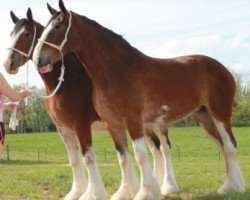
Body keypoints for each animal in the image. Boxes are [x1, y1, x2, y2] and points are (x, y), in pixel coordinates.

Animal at [2, 5, 174, 199]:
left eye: (26, 34)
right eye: (11, 33)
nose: (8, 64)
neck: (67, 82)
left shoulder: (81, 126)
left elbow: (89, 158)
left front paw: (93, 193)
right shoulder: (64, 129)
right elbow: (75, 161)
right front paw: (76, 192)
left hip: (157, 123)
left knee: (164, 147)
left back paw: (168, 186)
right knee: (155, 148)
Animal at [32, 0, 244, 198]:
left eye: (58, 25)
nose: (38, 59)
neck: (117, 71)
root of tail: (223, 69)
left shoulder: (133, 122)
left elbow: (141, 156)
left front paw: (146, 193)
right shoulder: (115, 126)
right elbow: (123, 158)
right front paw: (126, 192)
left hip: (220, 114)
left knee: (230, 146)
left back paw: (234, 187)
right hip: (204, 117)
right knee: (223, 146)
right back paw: (228, 186)